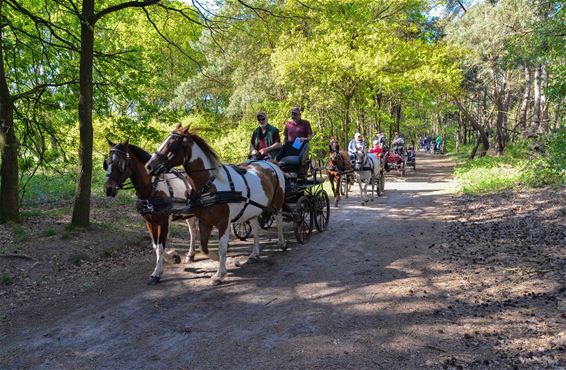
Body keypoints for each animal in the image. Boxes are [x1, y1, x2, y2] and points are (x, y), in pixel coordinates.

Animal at [104, 140, 200, 284]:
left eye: (120, 163)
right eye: (107, 163)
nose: (108, 189)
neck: (152, 189)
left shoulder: (164, 221)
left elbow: (161, 246)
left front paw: (157, 274)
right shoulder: (149, 222)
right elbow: (155, 246)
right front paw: (173, 257)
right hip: (189, 214)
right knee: (193, 231)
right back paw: (190, 255)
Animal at [146, 124, 288, 284]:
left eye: (171, 143)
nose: (149, 166)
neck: (210, 184)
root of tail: (270, 164)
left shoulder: (223, 221)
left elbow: (222, 248)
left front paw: (219, 274)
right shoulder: (204, 221)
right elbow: (204, 248)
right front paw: (216, 260)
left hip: (277, 204)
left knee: (279, 220)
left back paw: (282, 243)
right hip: (253, 210)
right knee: (256, 229)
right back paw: (254, 254)